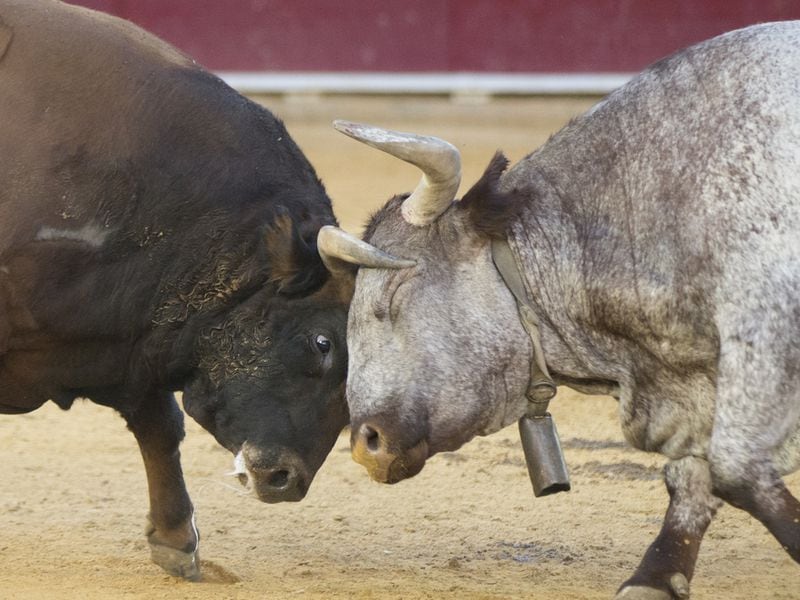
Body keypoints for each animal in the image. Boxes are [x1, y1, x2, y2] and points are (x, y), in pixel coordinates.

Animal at [317, 22, 800, 599]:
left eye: (394, 294)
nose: (364, 443)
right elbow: (693, 470)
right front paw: (655, 575)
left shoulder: (763, 330)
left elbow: (736, 467)